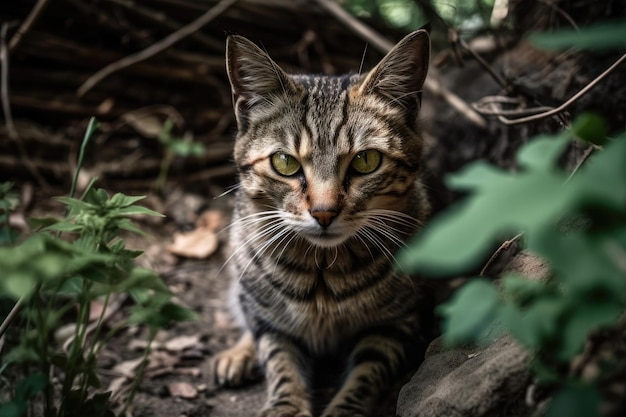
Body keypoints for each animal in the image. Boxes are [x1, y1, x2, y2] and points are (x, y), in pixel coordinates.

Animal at [212, 30, 432, 416]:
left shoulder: (397, 324)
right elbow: (280, 363)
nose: (324, 212)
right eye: (285, 163)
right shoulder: (274, 328)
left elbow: (365, 376)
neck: (322, 273)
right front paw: (285, 407)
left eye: (366, 160)